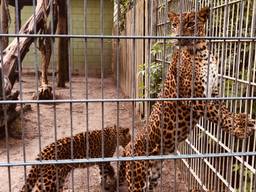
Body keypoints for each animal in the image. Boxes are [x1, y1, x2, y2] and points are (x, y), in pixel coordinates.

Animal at [117, 6, 255, 191]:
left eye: (190, 24)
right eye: (175, 24)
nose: (178, 37)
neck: (203, 52)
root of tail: (128, 147)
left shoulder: (214, 92)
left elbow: (223, 110)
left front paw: (241, 121)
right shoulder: (194, 97)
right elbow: (219, 115)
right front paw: (241, 128)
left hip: (153, 176)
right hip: (137, 180)